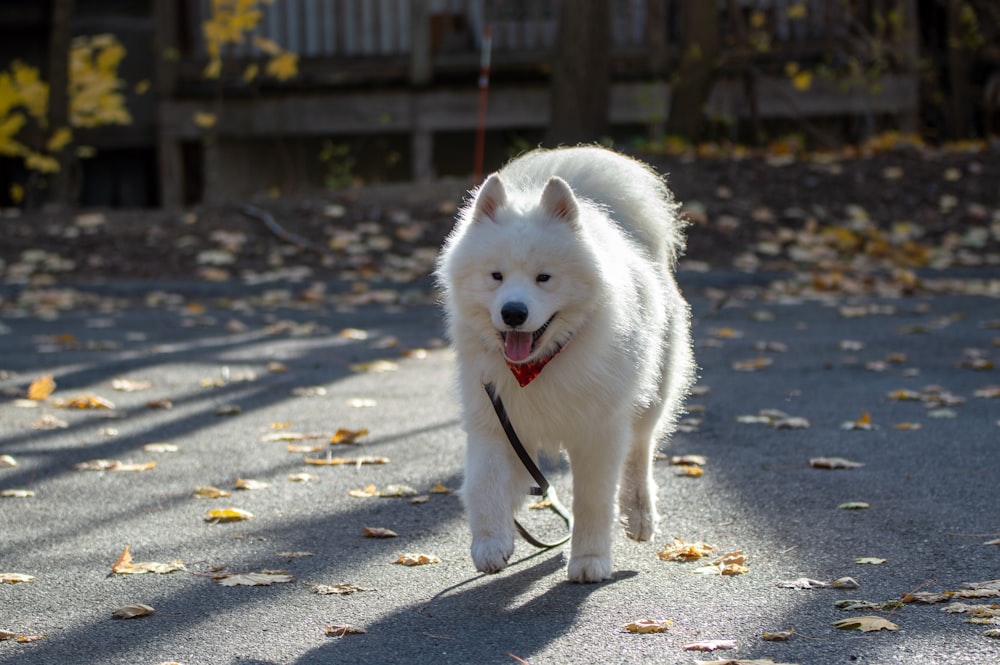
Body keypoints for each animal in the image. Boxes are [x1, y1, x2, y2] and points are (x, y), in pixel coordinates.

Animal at [438, 145, 696, 580]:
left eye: (544, 277)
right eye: (496, 276)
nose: (513, 313)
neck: (539, 365)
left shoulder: (598, 431)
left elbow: (592, 500)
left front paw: (589, 560)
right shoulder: (494, 418)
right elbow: (485, 482)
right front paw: (491, 542)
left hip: (652, 393)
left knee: (641, 449)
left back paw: (640, 514)